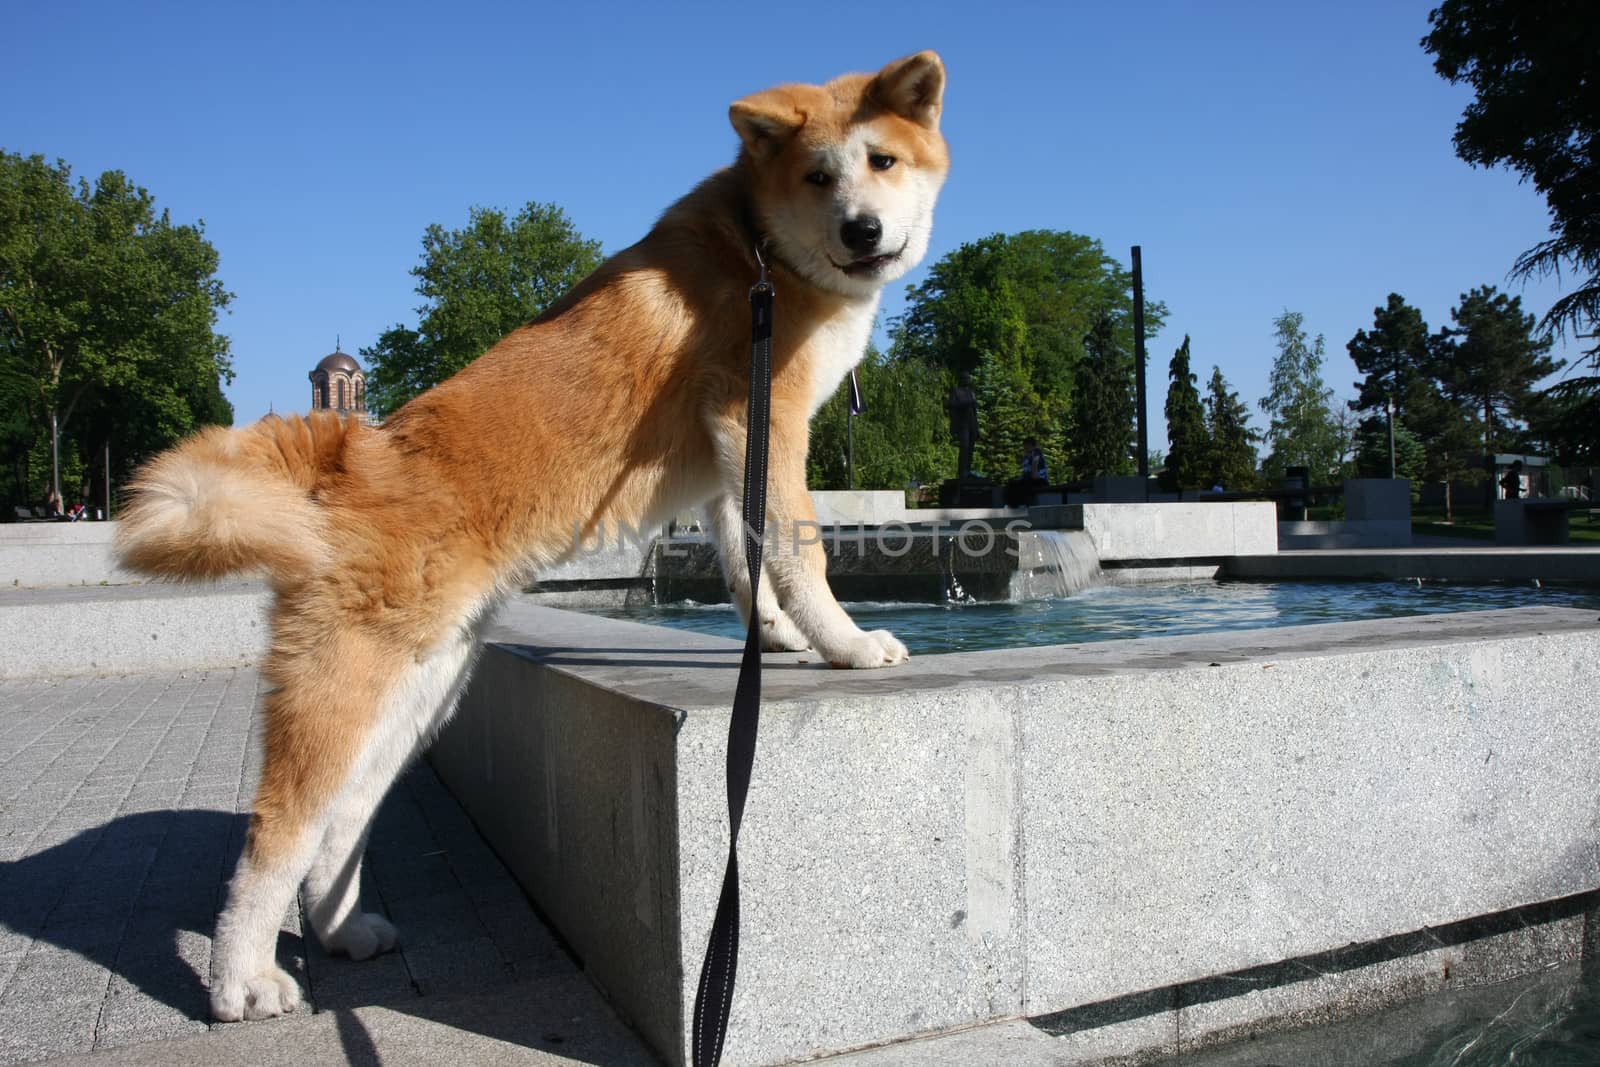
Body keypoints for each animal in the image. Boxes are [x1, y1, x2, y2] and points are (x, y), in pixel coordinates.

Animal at [121, 49, 947, 1017]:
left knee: (342, 821)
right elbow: (798, 549)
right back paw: (242, 980)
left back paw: (340, 932)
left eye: (881, 162)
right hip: (343, 687)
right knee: (274, 834)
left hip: (422, 688)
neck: (762, 253)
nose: (862, 228)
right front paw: (846, 644)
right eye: (820, 175)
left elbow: (748, 563)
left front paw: (773, 636)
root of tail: (349, 456)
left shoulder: (730, 458)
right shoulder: (761, 421)